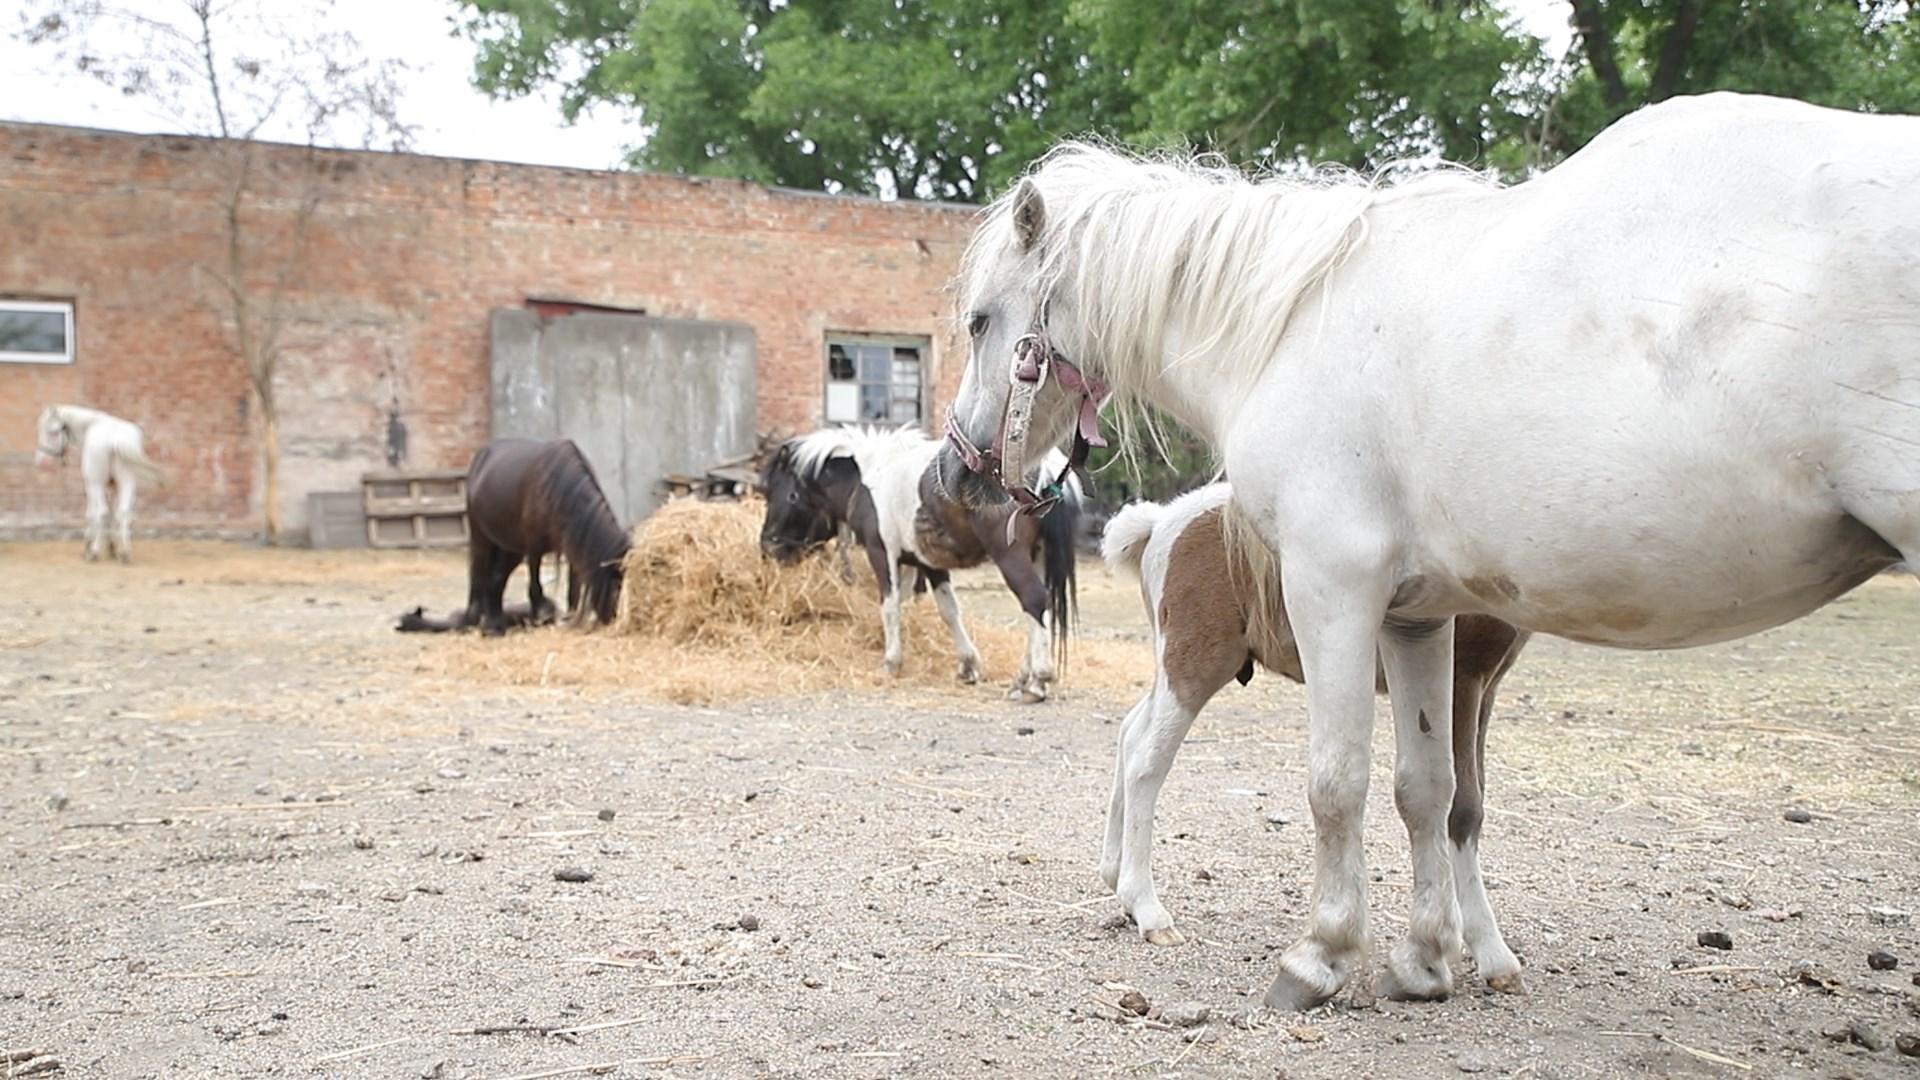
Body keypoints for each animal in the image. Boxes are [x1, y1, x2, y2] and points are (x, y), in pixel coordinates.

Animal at [35, 399, 167, 557]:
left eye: (53, 432)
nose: (42, 462)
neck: (90, 425)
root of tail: (114, 440)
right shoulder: (113, 486)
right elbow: (114, 514)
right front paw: (112, 548)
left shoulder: (91, 484)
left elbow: (92, 513)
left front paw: (89, 544)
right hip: (127, 482)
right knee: (124, 512)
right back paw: (125, 553)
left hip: (97, 483)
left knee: (102, 513)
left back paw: (94, 552)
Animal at [460, 438, 625, 630]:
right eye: (617, 586)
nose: (616, 619)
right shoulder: (534, 547)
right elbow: (534, 585)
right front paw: (541, 616)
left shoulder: (573, 545)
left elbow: (573, 589)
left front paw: (570, 617)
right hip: (481, 539)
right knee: (480, 575)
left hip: (510, 547)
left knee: (496, 579)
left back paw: (495, 621)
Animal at [760, 420, 1082, 699]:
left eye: (789, 495)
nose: (768, 546)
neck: (868, 478)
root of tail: (1047, 471)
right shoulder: (929, 563)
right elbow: (948, 611)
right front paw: (967, 665)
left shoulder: (882, 552)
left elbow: (889, 606)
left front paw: (891, 662)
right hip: (1038, 556)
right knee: (1040, 607)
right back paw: (1022, 679)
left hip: (1011, 557)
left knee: (1034, 600)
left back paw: (1039, 680)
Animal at [1105, 484, 1520, 991]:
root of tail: (1162, 522)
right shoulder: (1465, 677)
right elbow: (1461, 807)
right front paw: (1488, 949)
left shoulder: (1486, 685)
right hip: (1196, 661)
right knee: (1147, 759)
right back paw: (1148, 909)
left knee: (1131, 732)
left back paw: (1115, 877)